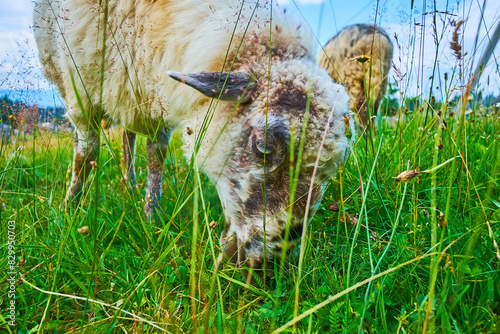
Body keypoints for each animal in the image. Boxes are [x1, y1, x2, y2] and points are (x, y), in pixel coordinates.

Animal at [33, 0, 354, 276]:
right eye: (263, 146)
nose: (267, 265)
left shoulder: (153, 88)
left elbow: (156, 156)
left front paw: (151, 218)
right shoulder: (81, 86)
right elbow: (86, 154)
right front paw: (70, 213)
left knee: (127, 136)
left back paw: (130, 185)